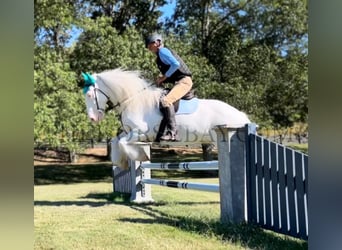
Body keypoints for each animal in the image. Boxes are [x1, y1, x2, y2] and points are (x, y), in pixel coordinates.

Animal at [81, 68, 250, 170]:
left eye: (89, 95)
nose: (93, 118)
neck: (133, 100)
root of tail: (241, 115)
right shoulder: (129, 132)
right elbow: (116, 141)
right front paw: (121, 163)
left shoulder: (141, 132)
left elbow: (122, 143)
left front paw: (139, 155)